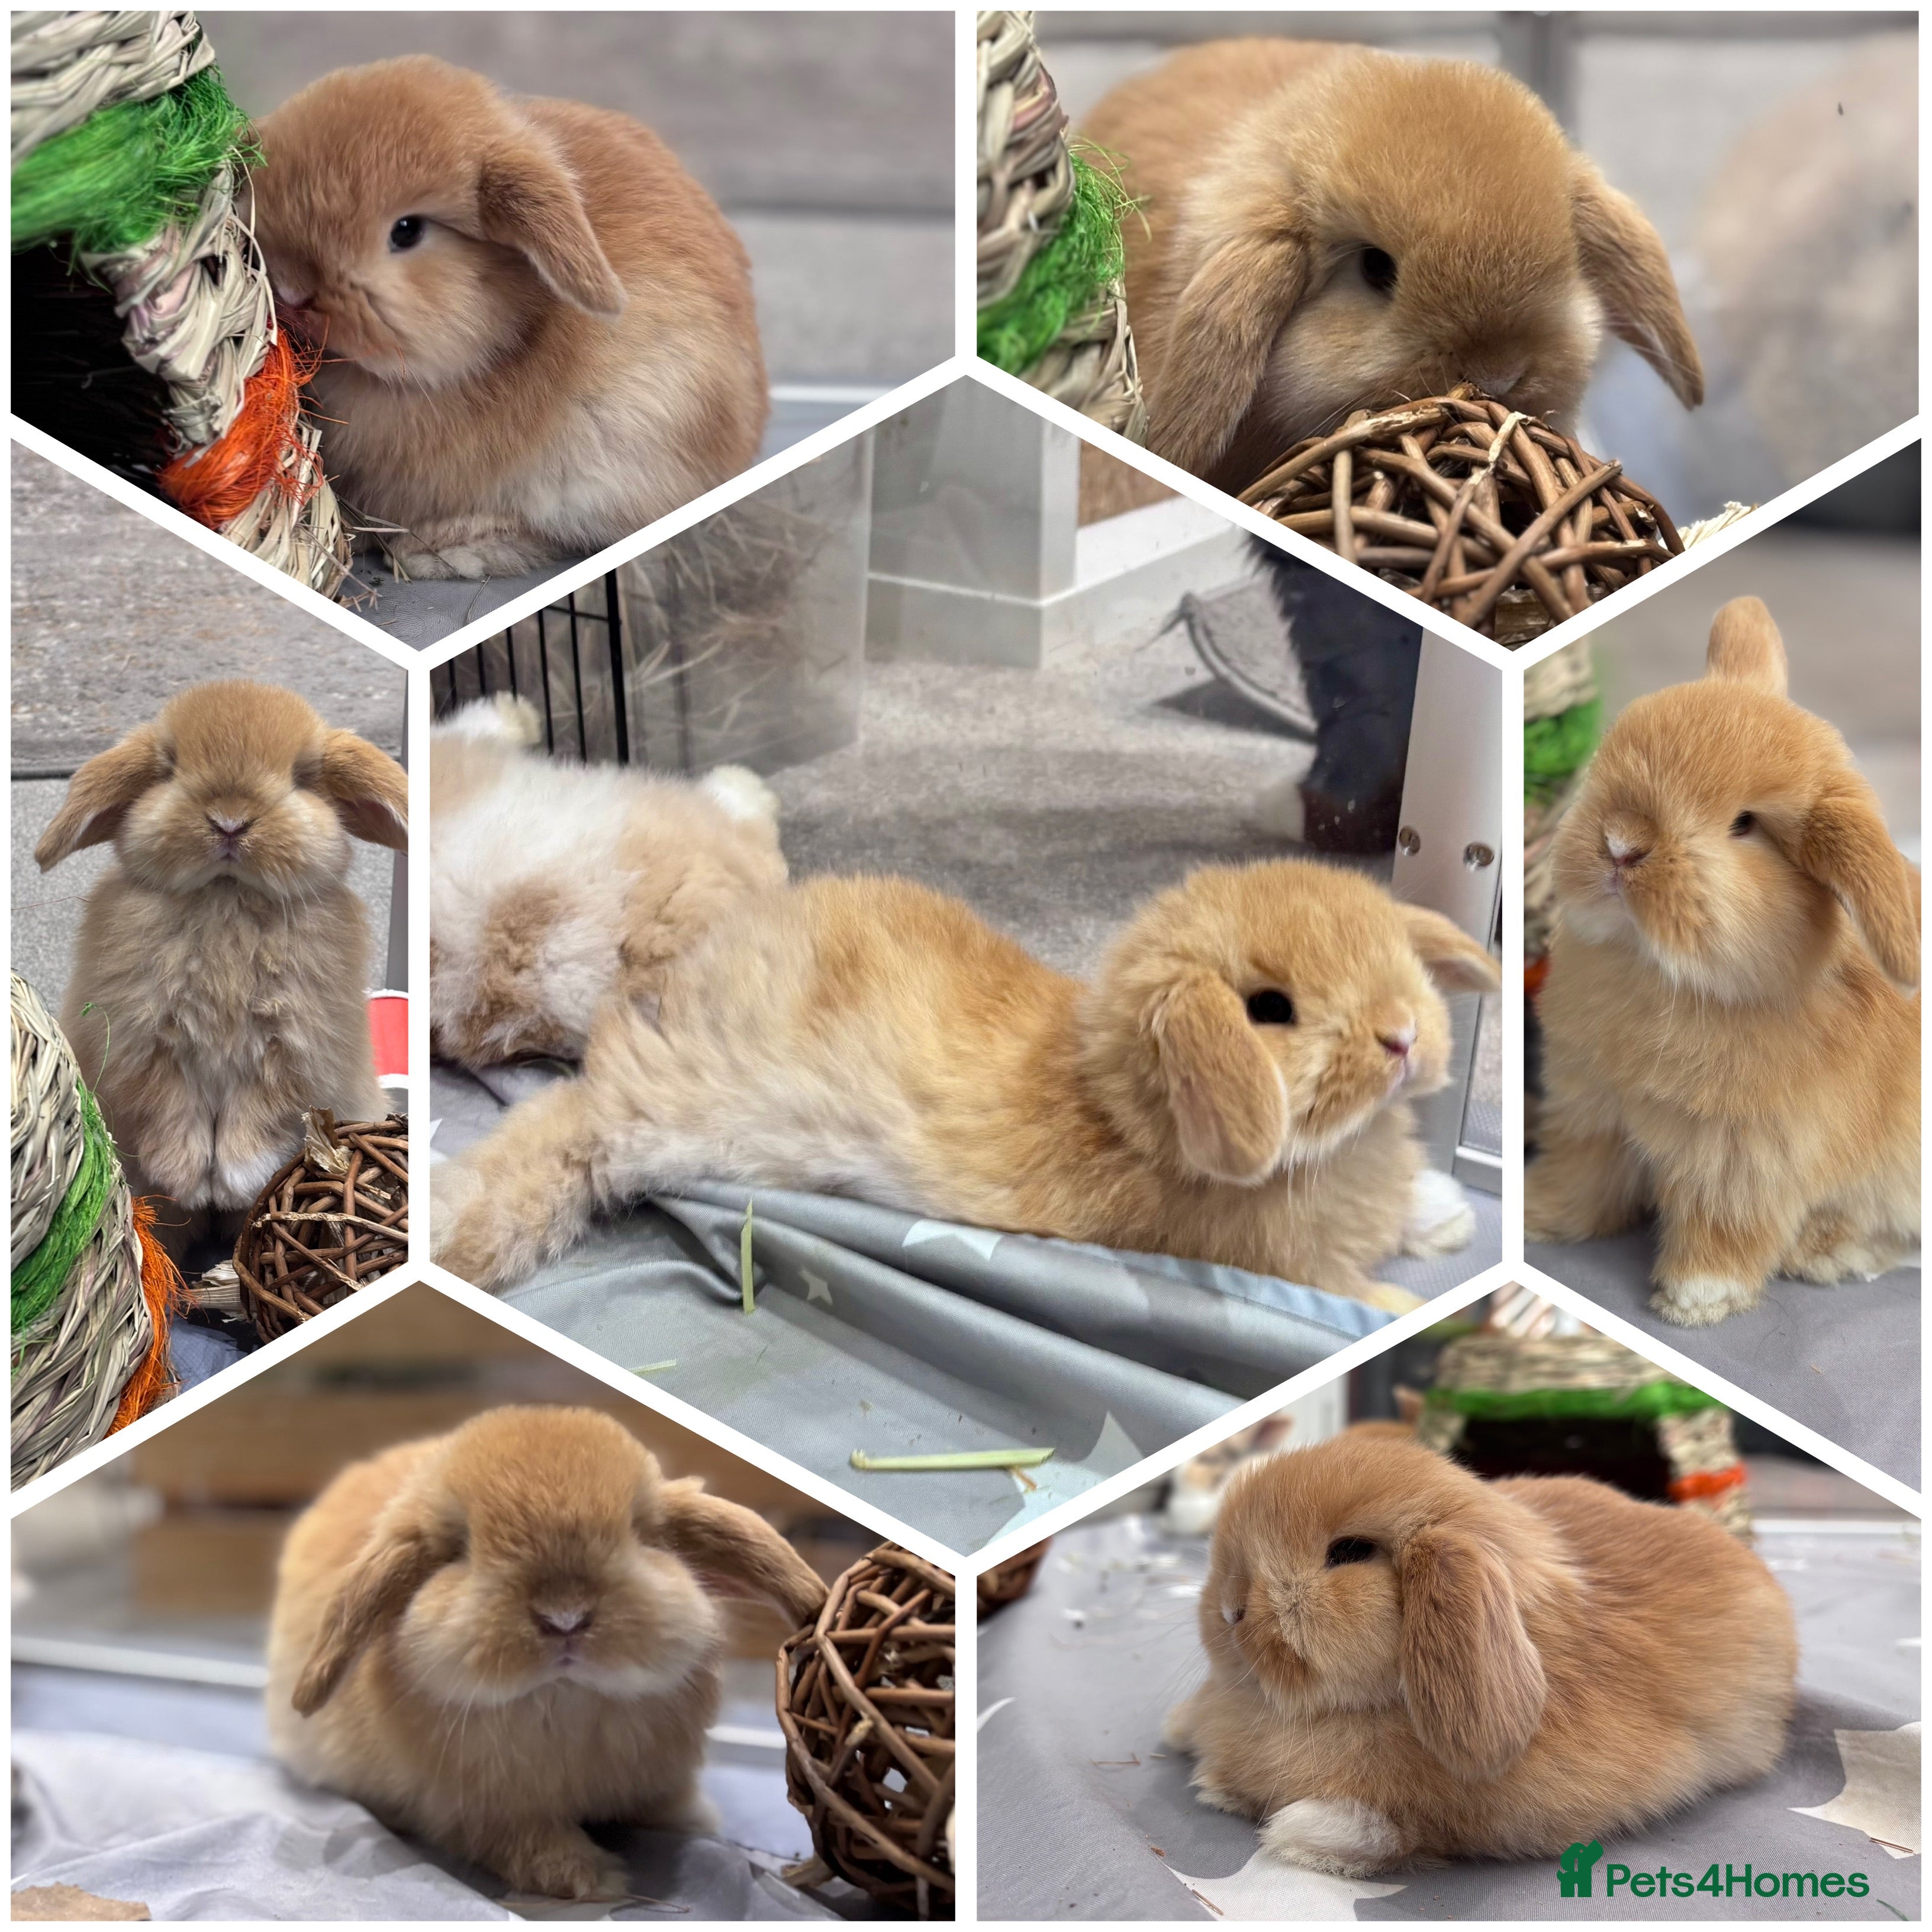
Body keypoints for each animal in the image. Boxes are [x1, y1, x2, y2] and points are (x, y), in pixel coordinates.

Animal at [34, 682, 406, 1244]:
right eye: (168, 769)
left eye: (302, 777)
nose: (230, 822)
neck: (226, 895)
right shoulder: (144, 1045)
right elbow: (167, 1109)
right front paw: (188, 1181)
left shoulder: (295, 1050)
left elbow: (263, 1114)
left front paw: (232, 1184)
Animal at [265, 1404, 828, 1902]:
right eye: (457, 1549)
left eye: (642, 1532)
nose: (564, 1616)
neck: (564, 1702)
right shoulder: (472, 1809)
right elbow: (520, 1840)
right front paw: (588, 1877)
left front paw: (694, 1821)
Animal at [430, 856, 1500, 1308]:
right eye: (1269, 1007)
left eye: (1388, 943)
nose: (1405, 1036)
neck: (1122, 1106)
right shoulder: (1285, 1265)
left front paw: (1443, 1214)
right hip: (663, 1113)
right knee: (573, 1124)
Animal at [1526, 596, 1920, 1327]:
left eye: (1745, 826)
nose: (1620, 844)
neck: (1658, 974)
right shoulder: (1592, 1114)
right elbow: (1583, 1180)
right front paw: (1541, 1217)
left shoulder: (1744, 1161)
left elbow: (1722, 1228)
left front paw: (1693, 1301)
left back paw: (1825, 1252)